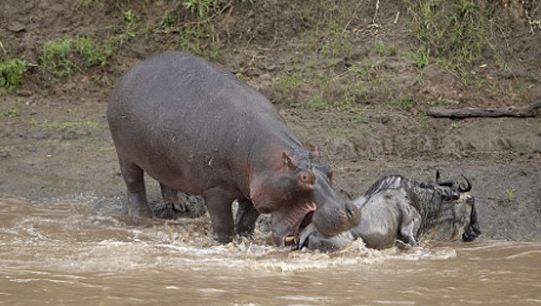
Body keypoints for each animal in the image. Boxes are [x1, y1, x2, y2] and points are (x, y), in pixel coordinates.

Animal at [106, 52, 358, 244]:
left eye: (329, 170)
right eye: (304, 177)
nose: (349, 211)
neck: (267, 157)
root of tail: (132, 70)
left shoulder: (255, 189)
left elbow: (247, 219)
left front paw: (246, 238)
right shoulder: (215, 189)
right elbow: (223, 222)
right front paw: (223, 242)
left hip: (163, 155)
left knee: (165, 179)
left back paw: (180, 205)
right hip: (125, 152)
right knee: (134, 183)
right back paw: (142, 216)